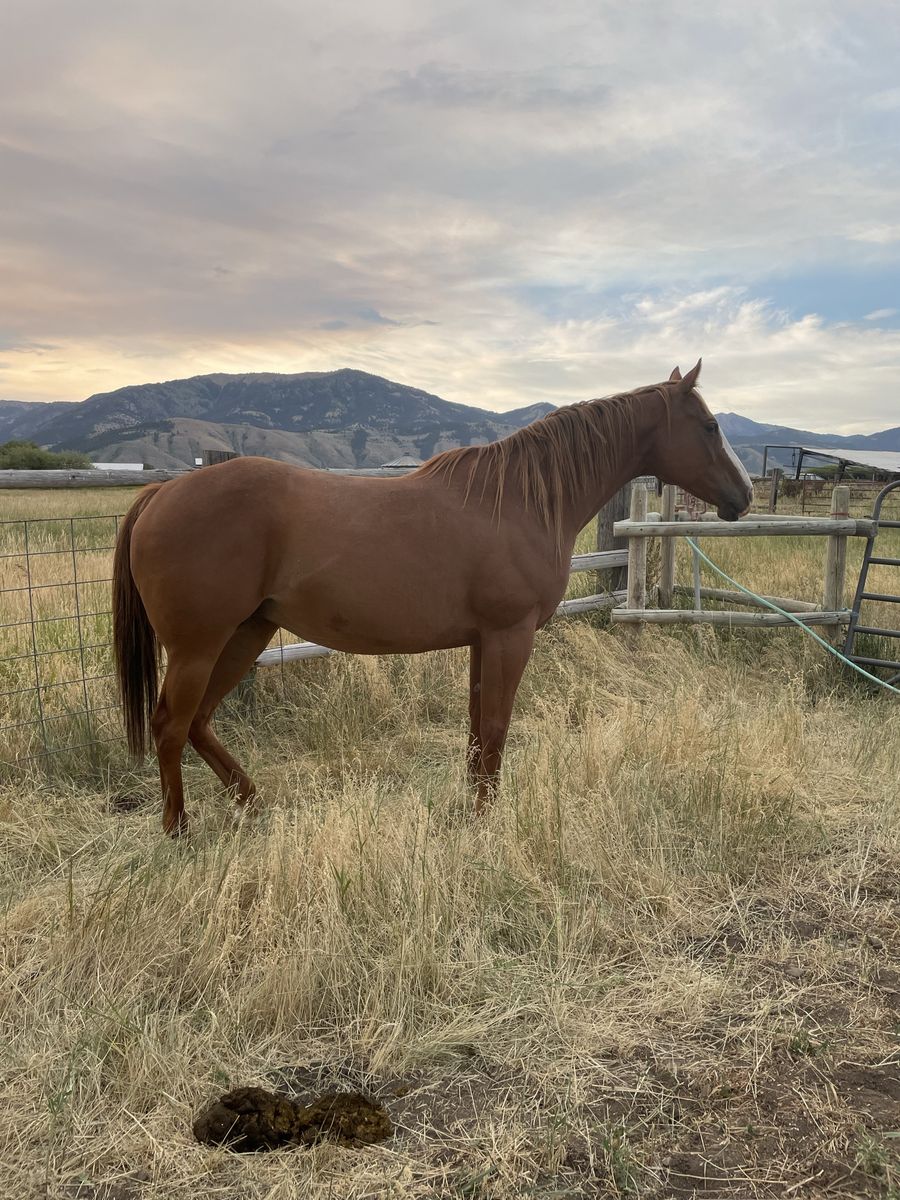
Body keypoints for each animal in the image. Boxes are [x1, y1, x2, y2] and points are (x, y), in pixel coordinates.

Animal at [113, 360, 752, 835]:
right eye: (708, 426)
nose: (743, 496)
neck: (519, 501)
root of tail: (161, 492)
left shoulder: (482, 640)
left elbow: (477, 728)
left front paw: (471, 808)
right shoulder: (509, 635)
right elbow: (495, 726)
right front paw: (485, 820)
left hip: (247, 633)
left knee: (198, 723)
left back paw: (251, 800)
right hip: (199, 646)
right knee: (171, 724)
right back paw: (178, 828)